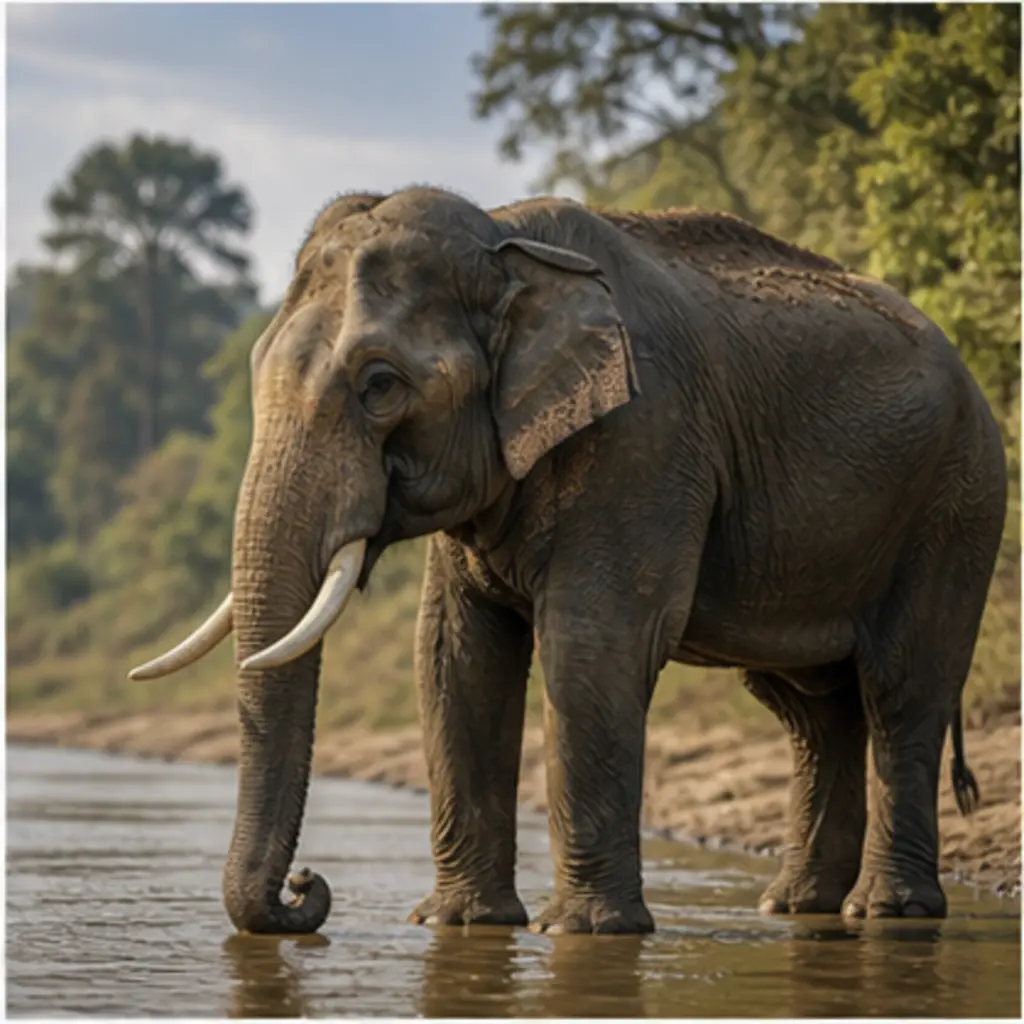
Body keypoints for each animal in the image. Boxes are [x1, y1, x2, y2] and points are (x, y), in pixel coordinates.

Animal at [130, 186, 1006, 935]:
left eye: (380, 384)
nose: (305, 887)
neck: (504, 238)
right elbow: (454, 657)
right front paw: (461, 924)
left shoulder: (644, 437)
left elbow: (592, 645)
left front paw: (583, 932)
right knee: (811, 708)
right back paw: (796, 908)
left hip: (956, 503)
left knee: (902, 690)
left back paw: (888, 913)